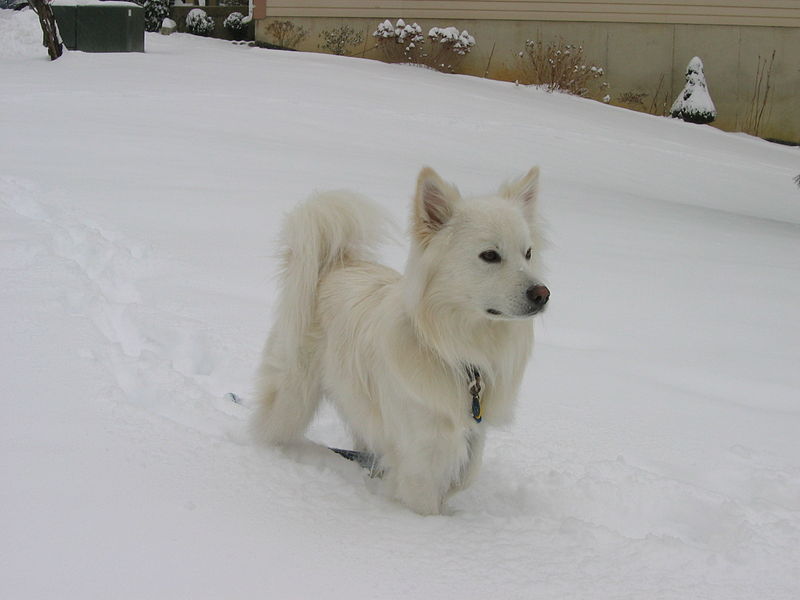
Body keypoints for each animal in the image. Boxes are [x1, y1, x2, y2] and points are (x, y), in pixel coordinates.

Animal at [253, 166, 548, 512]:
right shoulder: (422, 451)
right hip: (292, 396)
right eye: (489, 255)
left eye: (528, 253)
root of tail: (335, 265)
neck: (456, 350)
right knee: (269, 429)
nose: (543, 294)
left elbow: (465, 476)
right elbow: (425, 502)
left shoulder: (473, 435)